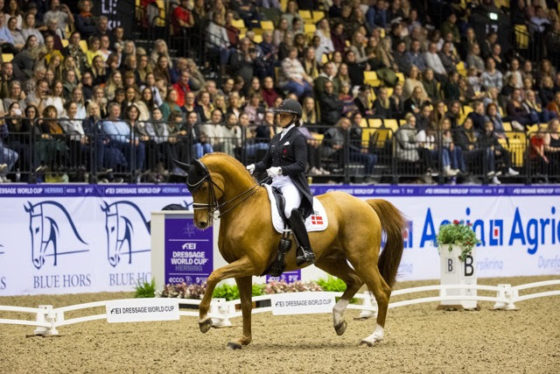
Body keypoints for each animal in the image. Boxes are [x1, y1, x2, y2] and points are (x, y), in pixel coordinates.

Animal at [182, 153, 404, 350]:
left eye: (203, 186)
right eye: (189, 187)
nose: (201, 223)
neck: (245, 206)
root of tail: (365, 203)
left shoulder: (252, 262)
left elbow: (214, 276)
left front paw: (204, 320)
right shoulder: (241, 267)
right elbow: (245, 303)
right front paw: (243, 340)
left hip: (362, 259)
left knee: (382, 291)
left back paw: (373, 337)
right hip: (330, 260)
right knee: (355, 280)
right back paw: (338, 321)